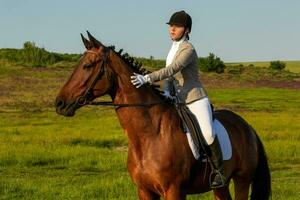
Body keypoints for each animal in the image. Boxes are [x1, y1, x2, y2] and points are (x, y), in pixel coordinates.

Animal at [55, 32, 270, 199]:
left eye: (88, 66)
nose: (59, 104)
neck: (150, 135)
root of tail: (247, 126)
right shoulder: (144, 191)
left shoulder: (173, 191)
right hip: (221, 187)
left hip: (242, 179)